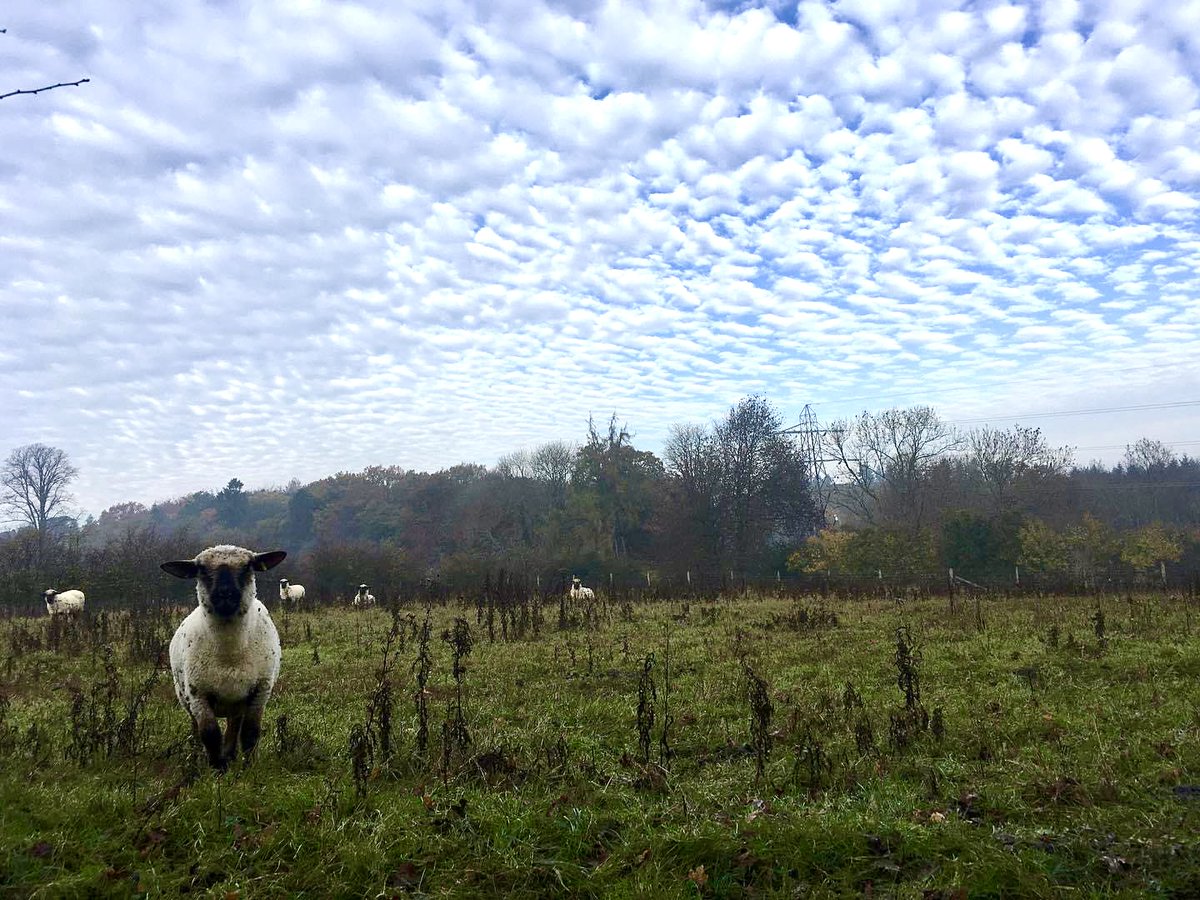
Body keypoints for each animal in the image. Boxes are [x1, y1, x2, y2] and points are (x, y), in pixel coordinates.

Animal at [161, 544, 286, 771]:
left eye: (247, 566)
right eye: (201, 569)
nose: (225, 594)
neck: (230, 653)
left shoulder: (260, 690)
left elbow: (250, 733)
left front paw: (248, 767)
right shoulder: (198, 694)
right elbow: (209, 735)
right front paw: (217, 770)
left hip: (236, 701)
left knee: (234, 727)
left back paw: (230, 755)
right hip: (188, 698)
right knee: (197, 730)